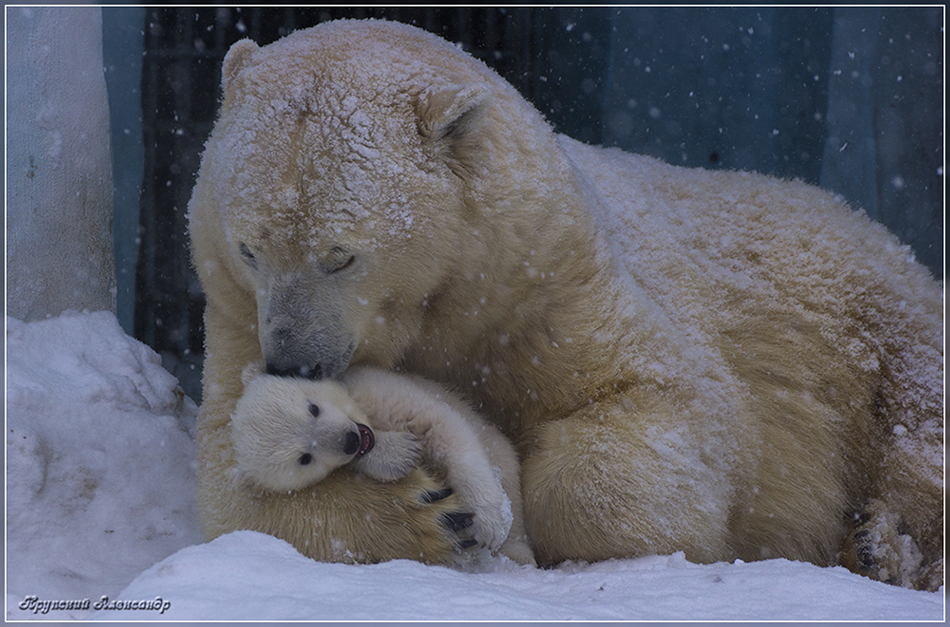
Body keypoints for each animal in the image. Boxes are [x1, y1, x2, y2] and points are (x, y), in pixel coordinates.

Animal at [188, 19, 944, 588]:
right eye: (249, 248)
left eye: (340, 254)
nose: (290, 361)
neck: (450, 296)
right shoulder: (233, 309)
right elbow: (233, 479)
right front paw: (428, 510)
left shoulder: (550, 278)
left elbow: (658, 397)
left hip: (874, 312)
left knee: (918, 421)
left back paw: (883, 545)